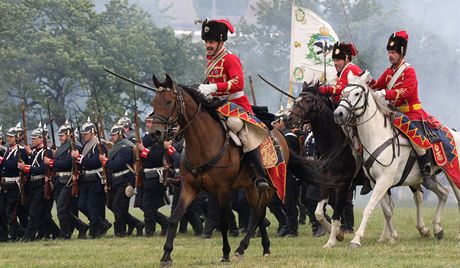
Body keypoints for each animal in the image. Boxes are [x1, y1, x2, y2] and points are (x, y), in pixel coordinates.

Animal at [150, 75, 324, 266]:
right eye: (153, 102)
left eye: (168, 101)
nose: (155, 133)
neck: (204, 142)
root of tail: (280, 136)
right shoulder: (189, 187)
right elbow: (174, 217)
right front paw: (166, 255)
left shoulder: (223, 190)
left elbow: (224, 223)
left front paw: (225, 253)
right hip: (251, 187)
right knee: (258, 213)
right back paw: (265, 247)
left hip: (270, 185)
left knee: (259, 212)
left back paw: (241, 248)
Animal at [286, 80, 362, 248]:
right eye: (296, 100)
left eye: (308, 101)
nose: (288, 119)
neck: (334, 144)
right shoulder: (325, 183)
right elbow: (319, 213)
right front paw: (338, 234)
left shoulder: (342, 185)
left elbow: (335, 216)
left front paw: (331, 241)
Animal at [332, 71, 460, 247]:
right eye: (344, 92)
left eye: (357, 93)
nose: (338, 114)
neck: (377, 136)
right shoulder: (376, 183)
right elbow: (387, 211)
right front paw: (392, 236)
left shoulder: (384, 181)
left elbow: (369, 208)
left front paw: (357, 239)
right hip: (428, 179)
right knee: (444, 193)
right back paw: (437, 228)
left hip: (452, 172)